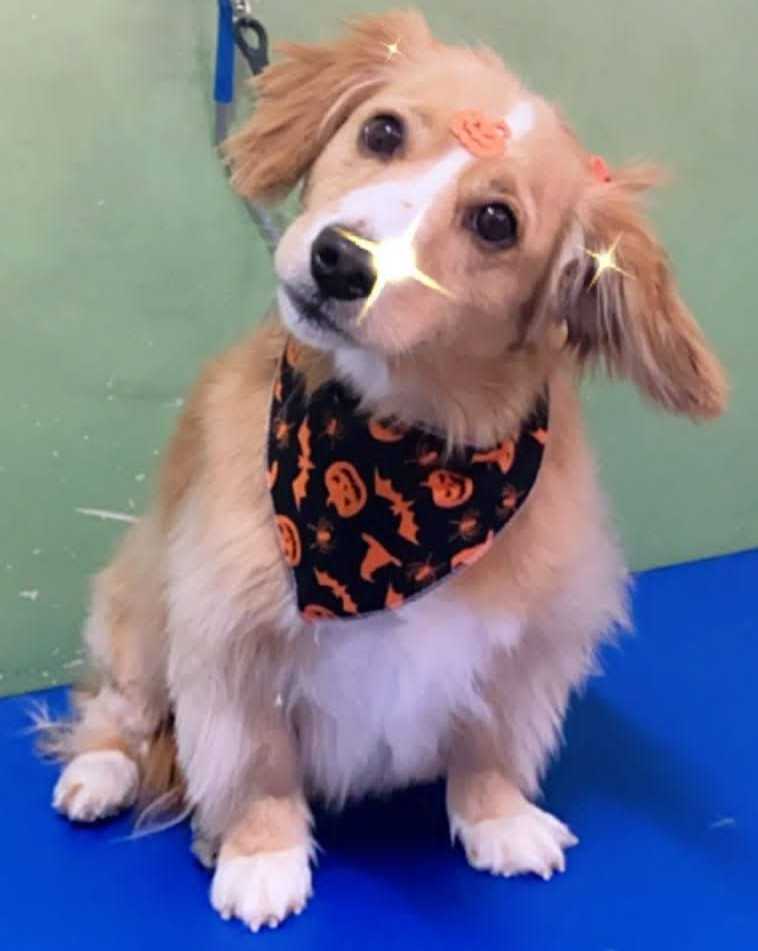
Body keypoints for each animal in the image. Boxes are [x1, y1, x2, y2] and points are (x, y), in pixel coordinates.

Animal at [43, 9, 727, 932]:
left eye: (496, 221)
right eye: (383, 132)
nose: (340, 260)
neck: (401, 450)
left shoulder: (529, 643)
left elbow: (491, 746)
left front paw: (498, 817)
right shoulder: (229, 634)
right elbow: (256, 763)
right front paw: (260, 854)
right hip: (143, 610)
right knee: (117, 708)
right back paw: (101, 773)